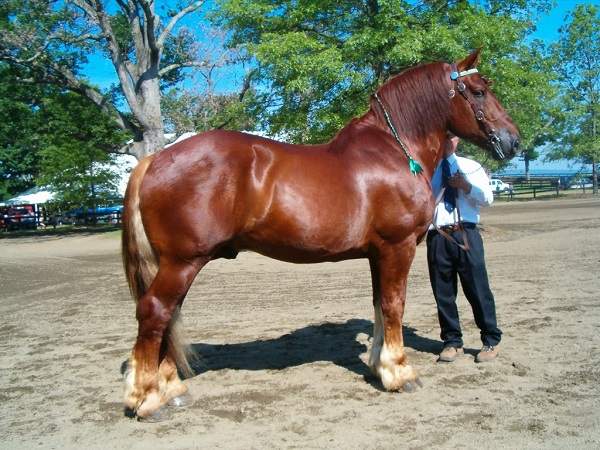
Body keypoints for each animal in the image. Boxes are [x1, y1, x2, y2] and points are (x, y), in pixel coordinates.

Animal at [122, 51, 520, 420]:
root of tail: (155, 160)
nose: (513, 140)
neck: (396, 150)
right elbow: (394, 305)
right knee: (156, 311)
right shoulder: (398, 247)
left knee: (169, 315)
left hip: (178, 264)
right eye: (479, 91)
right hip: (182, 262)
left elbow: (379, 304)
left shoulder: (377, 253)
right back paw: (148, 399)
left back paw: (172, 389)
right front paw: (400, 373)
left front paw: (379, 367)